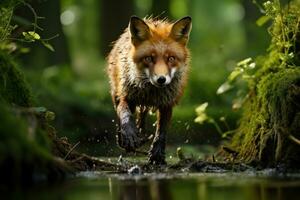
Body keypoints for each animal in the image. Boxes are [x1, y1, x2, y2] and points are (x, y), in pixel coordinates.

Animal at [107, 16, 192, 164]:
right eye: (149, 58)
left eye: (171, 58)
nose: (161, 79)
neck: (151, 92)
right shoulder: (126, 96)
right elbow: (125, 115)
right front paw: (129, 135)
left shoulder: (166, 103)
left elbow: (161, 131)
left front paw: (157, 154)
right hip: (116, 92)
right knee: (119, 114)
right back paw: (123, 139)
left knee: (142, 117)